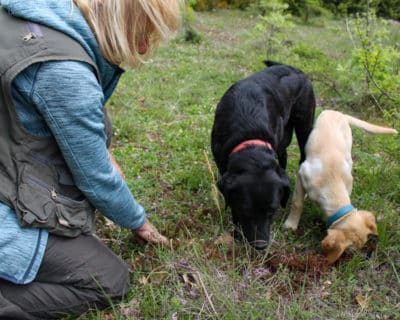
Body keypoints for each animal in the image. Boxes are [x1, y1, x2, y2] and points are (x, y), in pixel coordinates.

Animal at [211, 61, 318, 249]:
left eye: (272, 210)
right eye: (245, 209)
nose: (261, 245)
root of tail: (295, 68)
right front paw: (237, 232)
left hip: (304, 124)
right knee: (283, 155)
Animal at [284, 109, 396, 264]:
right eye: (348, 251)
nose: (358, 259)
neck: (332, 185)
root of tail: (339, 113)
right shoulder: (302, 174)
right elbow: (297, 203)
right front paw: (291, 225)